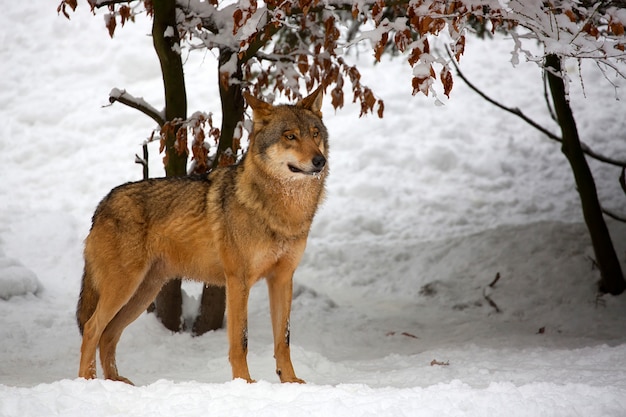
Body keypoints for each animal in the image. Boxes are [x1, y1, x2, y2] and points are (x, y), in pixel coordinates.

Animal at [77, 87, 326, 384]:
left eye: (315, 134)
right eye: (290, 136)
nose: (320, 161)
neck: (280, 212)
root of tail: (102, 204)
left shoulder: (282, 278)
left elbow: (283, 339)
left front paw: (290, 382)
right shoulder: (237, 281)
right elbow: (240, 341)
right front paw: (245, 383)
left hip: (141, 293)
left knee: (108, 334)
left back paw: (117, 382)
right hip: (124, 288)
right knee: (92, 328)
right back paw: (87, 381)